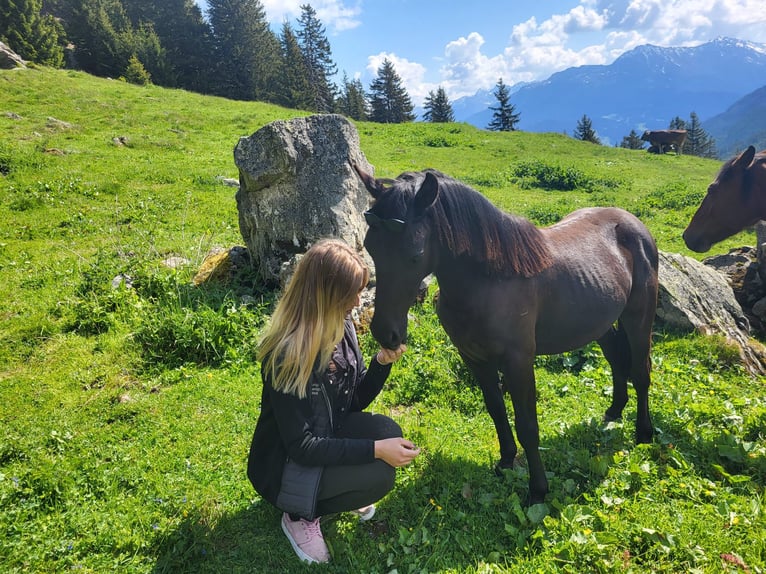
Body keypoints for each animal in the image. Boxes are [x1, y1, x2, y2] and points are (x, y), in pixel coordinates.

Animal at [354, 165, 660, 504]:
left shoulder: (519, 363)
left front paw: (538, 491)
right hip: (600, 324)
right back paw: (614, 411)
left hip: (638, 318)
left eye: (414, 254)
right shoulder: (474, 358)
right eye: (371, 247)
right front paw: (505, 461)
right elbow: (497, 411)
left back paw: (643, 433)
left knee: (640, 371)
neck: (490, 283)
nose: (386, 334)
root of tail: (632, 222)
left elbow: (527, 425)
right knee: (618, 361)